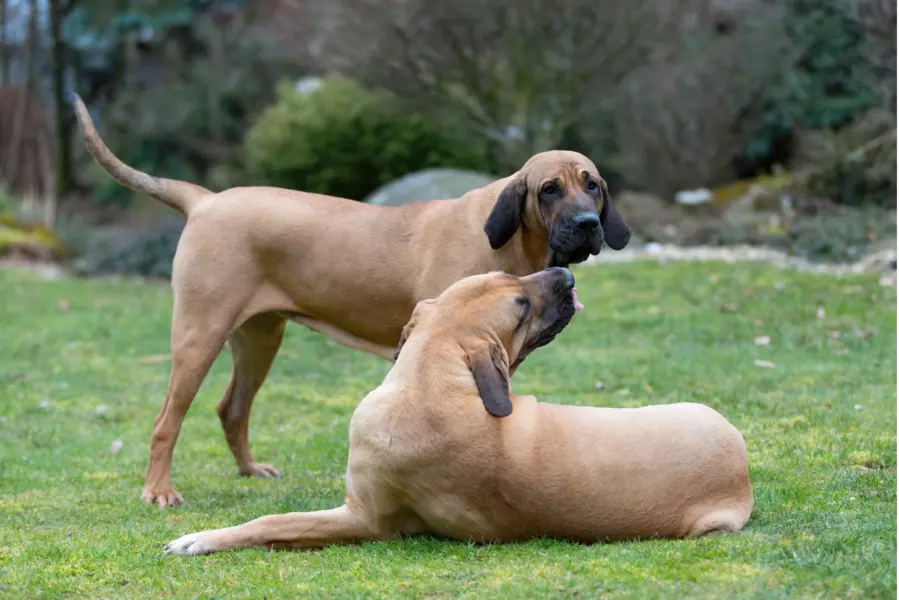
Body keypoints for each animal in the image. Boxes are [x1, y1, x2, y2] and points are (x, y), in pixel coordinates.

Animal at [72, 94, 632, 506]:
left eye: (593, 186)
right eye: (549, 189)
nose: (589, 225)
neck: (512, 240)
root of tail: (206, 201)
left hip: (259, 339)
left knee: (232, 408)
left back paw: (249, 469)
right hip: (199, 336)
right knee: (166, 422)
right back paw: (158, 491)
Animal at [165, 270, 756, 556]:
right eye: (516, 294)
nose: (566, 273)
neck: (430, 380)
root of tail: (741, 473)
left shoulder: (364, 519)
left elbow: (271, 523)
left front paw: (201, 539)